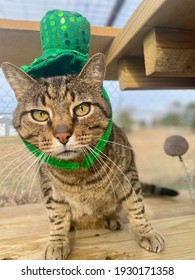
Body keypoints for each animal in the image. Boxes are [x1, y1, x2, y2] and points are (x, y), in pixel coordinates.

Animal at [2, 53, 165, 260]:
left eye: (82, 109)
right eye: (39, 114)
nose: (63, 135)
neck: (79, 172)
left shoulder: (129, 174)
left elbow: (136, 205)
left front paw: (146, 232)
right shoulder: (48, 188)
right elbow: (57, 215)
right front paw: (57, 241)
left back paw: (110, 218)